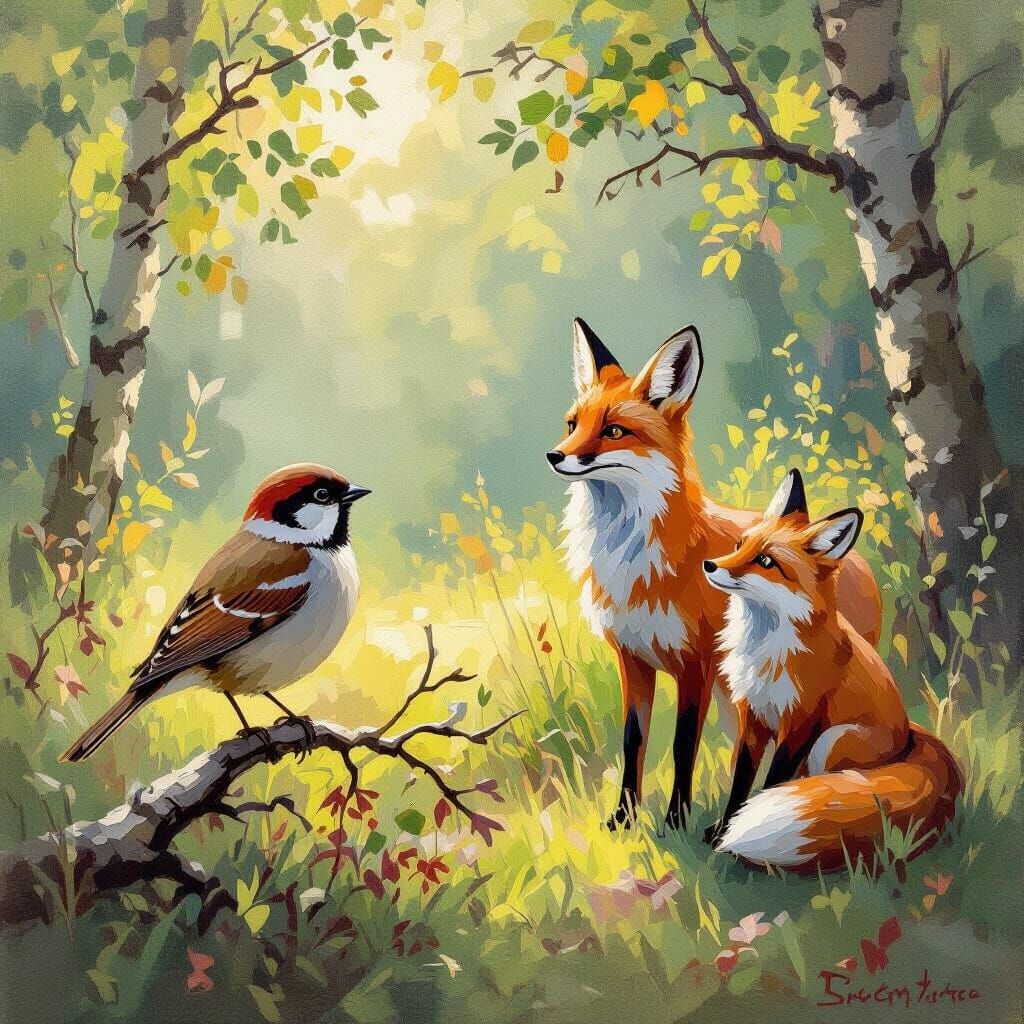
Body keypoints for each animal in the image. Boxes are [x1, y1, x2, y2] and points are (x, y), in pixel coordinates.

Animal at [548, 318, 882, 829]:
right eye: (572, 424)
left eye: (614, 431)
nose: (554, 455)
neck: (635, 561)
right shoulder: (633, 658)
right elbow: (633, 742)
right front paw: (624, 818)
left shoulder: (696, 666)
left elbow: (683, 746)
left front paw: (675, 821)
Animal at [702, 472, 963, 872]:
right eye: (739, 544)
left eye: (765, 561)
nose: (710, 565)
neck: (765, 648)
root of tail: (909, 734)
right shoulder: (753, 717)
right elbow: (740, 786)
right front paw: (724, 830)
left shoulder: (801, 721)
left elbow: (771, 781)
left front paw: (732, 843)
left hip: (830, 742)